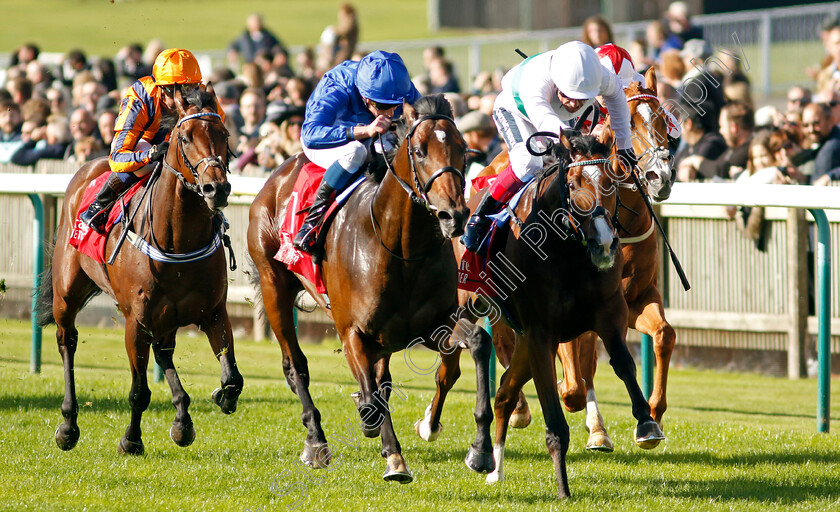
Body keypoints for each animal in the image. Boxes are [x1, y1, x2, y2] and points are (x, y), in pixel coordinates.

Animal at [37, 85, 241, 456]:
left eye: (224, 134)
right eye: (185, 137)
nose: (216, 188)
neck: (178, 241)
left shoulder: (213, 311)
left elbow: (232, 378)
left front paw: (218, 397)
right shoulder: (136, 321)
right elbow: (139, 392)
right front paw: (131, 439)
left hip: (168, 316)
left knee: (164, 352)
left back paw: (182, 419)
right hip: (67, 294)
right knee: (66, 341)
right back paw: (68, 425)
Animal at [246, 96, 496, 484]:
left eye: (463, 150)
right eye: (420, 150)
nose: (453, 215)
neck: (401, 247)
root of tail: (277, 173)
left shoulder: (434, 324)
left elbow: (479, 344)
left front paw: (481, 449)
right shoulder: (353, 332)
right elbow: (372, 393)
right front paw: (394, 458)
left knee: (381, 378)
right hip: (274, 285)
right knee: (296, 366)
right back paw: (316, 441)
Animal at [416, 130, 660, 498]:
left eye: (610, 182)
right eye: (572, 184)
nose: (604, 242)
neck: (568, 251)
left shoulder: (608, 314)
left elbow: (623, 362)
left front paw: (646, 423)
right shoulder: (541, 333)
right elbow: (555, 418)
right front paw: (563, 489)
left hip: (520, 339)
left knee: (504, 392)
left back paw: (492, 465)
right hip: (466, 308)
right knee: (451, 365)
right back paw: (433, 426)